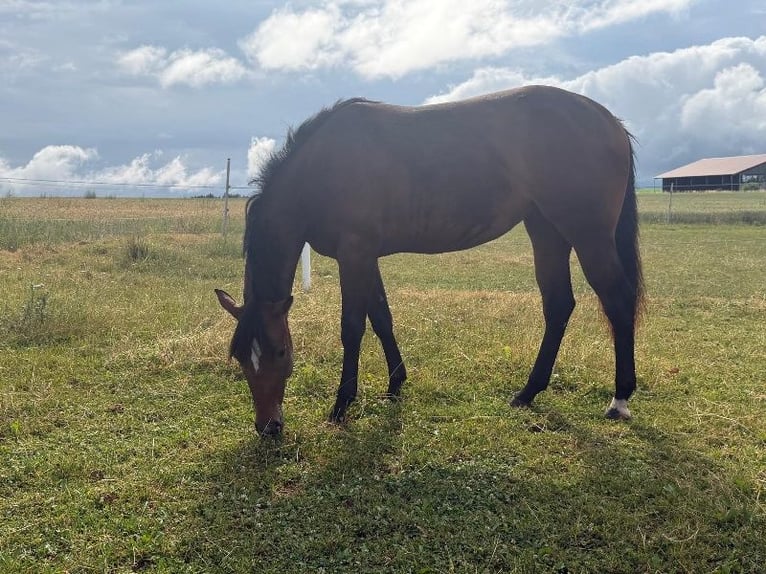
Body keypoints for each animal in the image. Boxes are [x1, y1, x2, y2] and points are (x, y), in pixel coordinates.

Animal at [216, 85, 644, 436]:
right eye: (240, 357)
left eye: (280, 353)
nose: (268, 427)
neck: (321, 169)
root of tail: (608, 120)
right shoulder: (365, 256)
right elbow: (382, 317)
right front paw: (395, 384)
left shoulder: (353, 255)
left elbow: (353, 327)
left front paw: (342, 404)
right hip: (546, 231)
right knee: (558, 305)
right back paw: (527, 393)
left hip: (588, 235)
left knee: (618, 301)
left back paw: (619, 399)